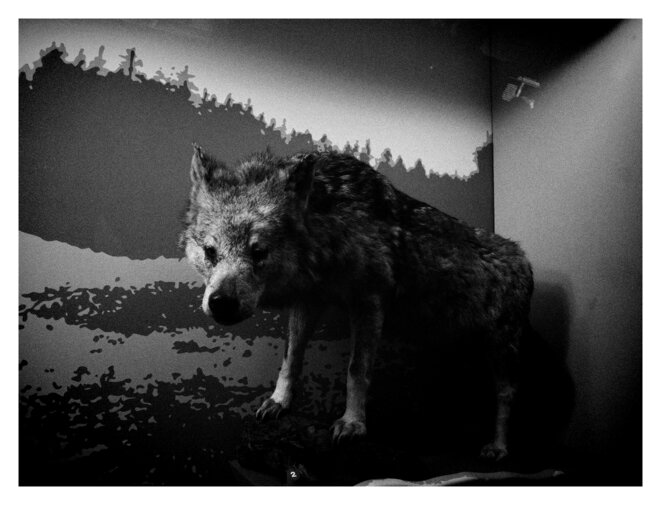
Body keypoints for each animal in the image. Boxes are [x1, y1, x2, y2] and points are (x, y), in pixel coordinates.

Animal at [180, 145, 534, 461]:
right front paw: (278, 402)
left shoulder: (369, 302)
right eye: (210, 252)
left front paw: (352, 423)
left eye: (258, 252)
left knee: (508, 395)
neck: (330, 232)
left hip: (501, 350)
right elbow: (291, 359)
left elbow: (356, 370)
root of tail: (524, 257)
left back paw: (498, 447)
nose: (221, 303)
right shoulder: (308, 302)